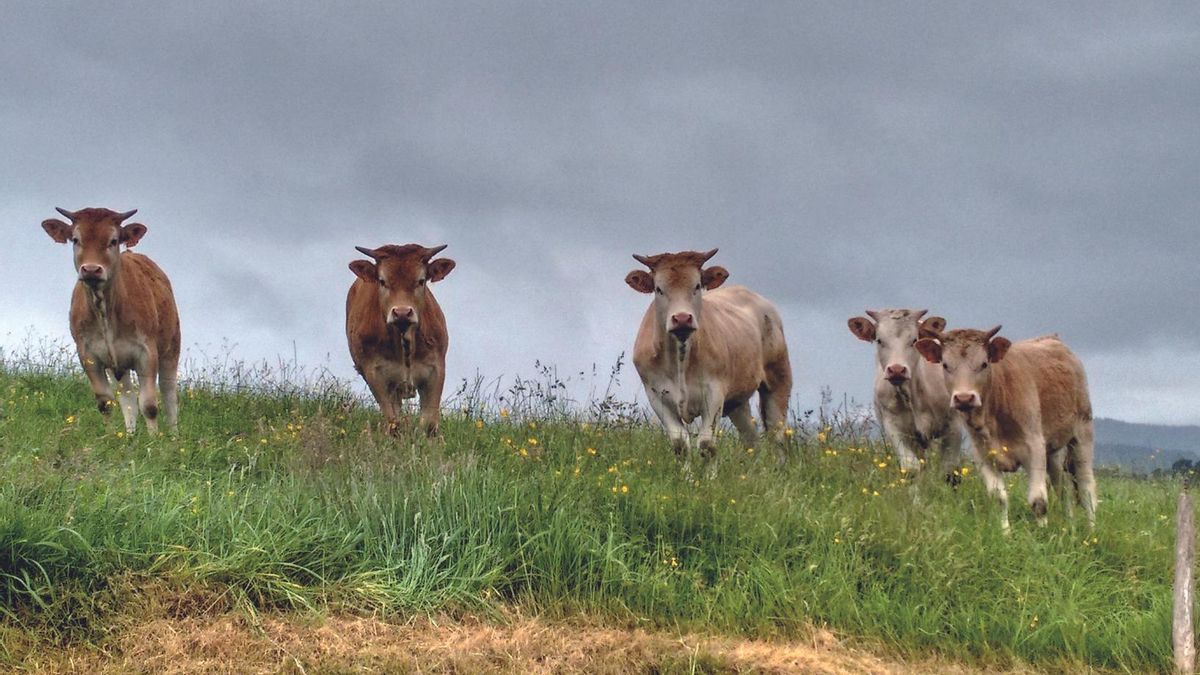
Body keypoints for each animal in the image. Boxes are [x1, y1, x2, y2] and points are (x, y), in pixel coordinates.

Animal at [41, 207, 181, 434]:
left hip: (172, 347)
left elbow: (150, 404)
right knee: (128, 397)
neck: (105, 313)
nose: (91, 269)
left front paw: (155, 440)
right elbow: (105, 403)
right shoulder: (88, 354)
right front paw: (110, 438)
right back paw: (130, 435)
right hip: (118, 366)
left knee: (170, 395)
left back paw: (174, 436)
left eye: (113, 240)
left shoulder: (147, 352)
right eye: (75, 239)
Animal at [346, 243, 455, 436]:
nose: (402, 312)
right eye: (382, 281)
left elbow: (429, 424)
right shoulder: (375, 374)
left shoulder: (436, 370)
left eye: (421, 280)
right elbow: (393, 422)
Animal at [625, 248, 792, 468]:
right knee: (751, 438)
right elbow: (680, 444)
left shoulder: (714, 392)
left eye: (697, 286)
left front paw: (710, 476)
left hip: (778, 378)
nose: (682, 318)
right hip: (737, 400)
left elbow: (707, 444)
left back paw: (780, 470)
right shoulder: (656, 395)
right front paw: (686, 476)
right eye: (659, 289)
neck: (680, 360)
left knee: (777, 434)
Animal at [847, 309, 964, 478]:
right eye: (879, 340)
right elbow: (911, 467)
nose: (897, 369)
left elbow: (949, 470)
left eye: (914, 340)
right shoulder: (894, 428)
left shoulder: (954, 426)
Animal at [915, 327, 1097, 530]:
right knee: (1064, 489)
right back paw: (1070, 528)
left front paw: (1043, 532)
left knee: (1086, 486)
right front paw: (1005, 533)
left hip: (1082, 432)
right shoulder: (983, 456)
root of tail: (1054, 340)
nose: (964, 398)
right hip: (1053, 449)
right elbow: (998, 499)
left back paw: (1091, 529)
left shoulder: (1034, 448)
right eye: (946, 365)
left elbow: (1038, 501)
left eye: (984, 364)